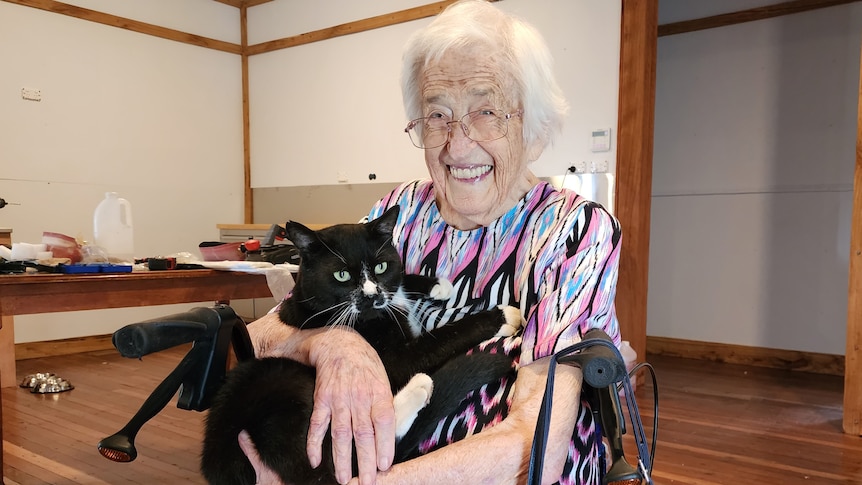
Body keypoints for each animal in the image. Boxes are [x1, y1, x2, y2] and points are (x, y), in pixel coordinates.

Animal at [202, 205, 524, 484]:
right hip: (280, 388)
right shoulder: (395, 359)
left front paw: (436, 285)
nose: (372, 295)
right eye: (341, 274)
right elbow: (444, 337)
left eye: (381, 266)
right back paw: (418, 388)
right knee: (355, 459)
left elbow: (400, 282)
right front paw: (501, 316)